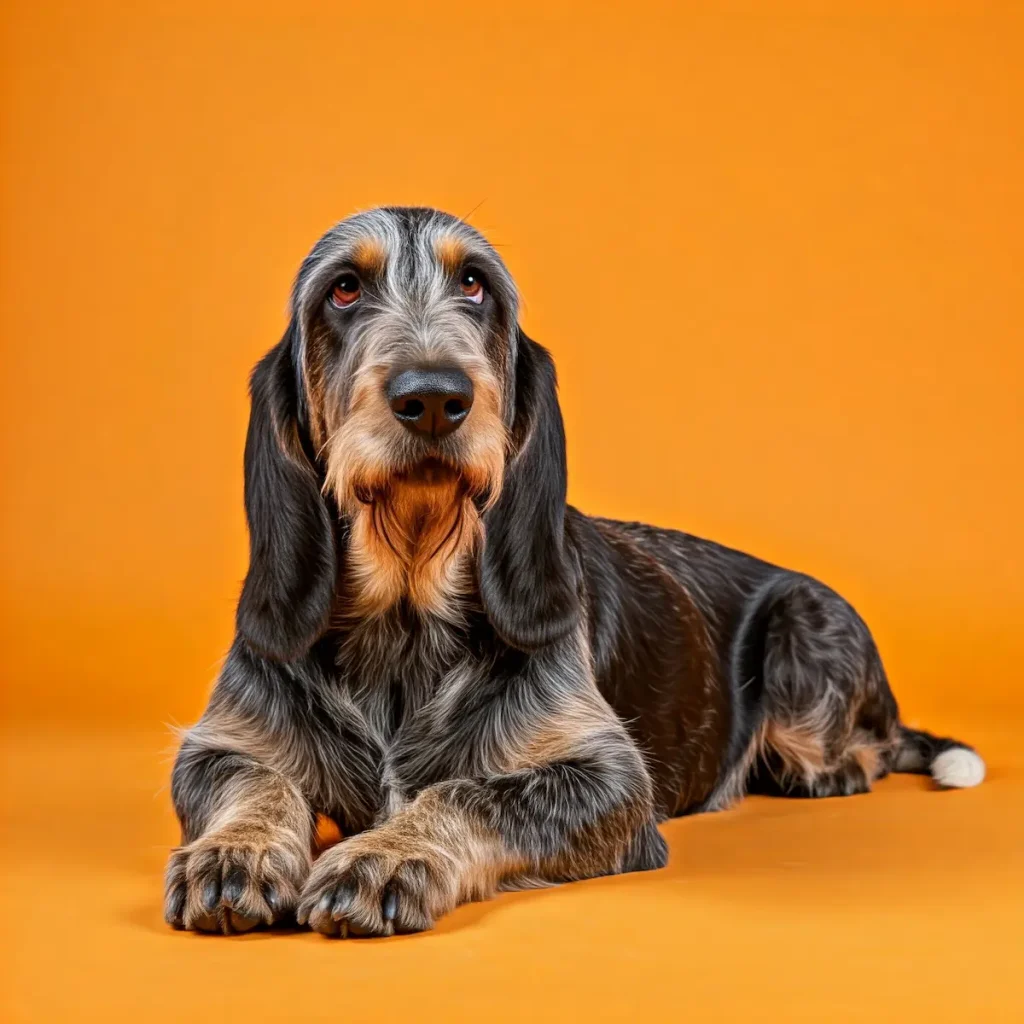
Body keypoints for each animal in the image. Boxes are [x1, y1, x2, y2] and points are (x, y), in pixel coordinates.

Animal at [165, 205, 983, 937]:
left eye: (475, 285)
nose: (432, 396)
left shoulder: (610, 783)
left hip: (805, 629)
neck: (407, 612)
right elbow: (258, 779)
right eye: (343, 289)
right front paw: (234, 850)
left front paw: (387, 857)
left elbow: (469, 794)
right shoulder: (217, 747)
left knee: (873, 747)